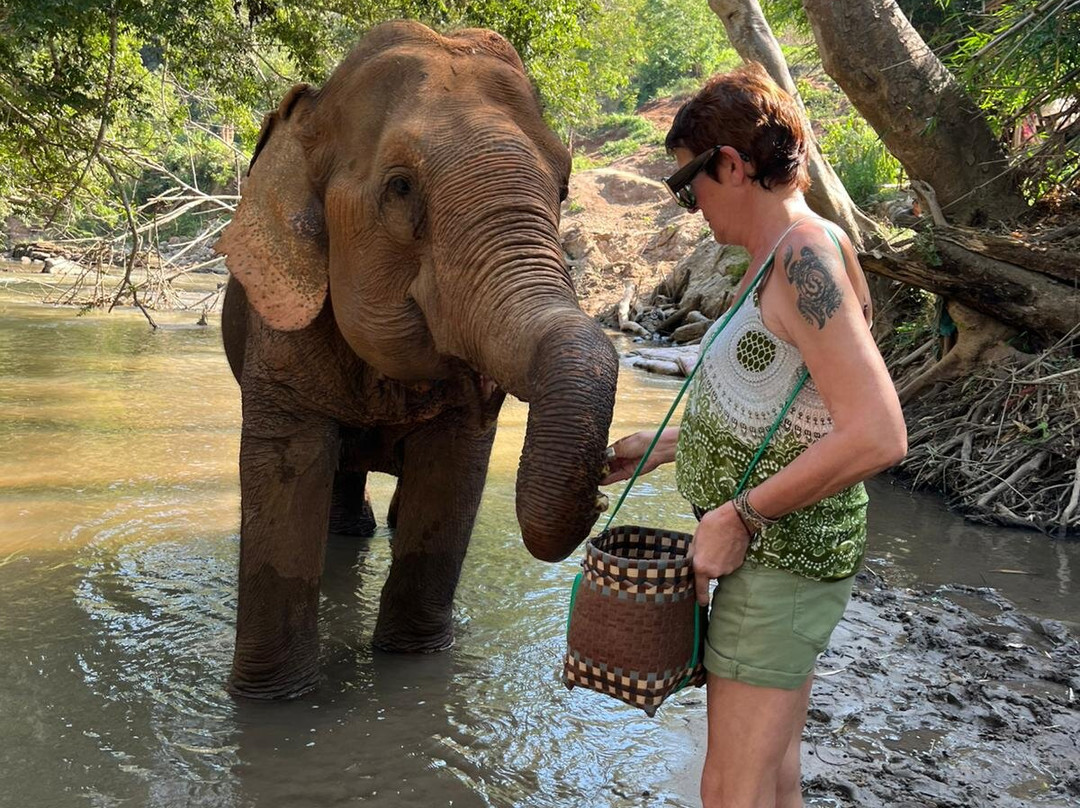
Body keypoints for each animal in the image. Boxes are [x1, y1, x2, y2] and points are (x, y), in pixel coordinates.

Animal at [214, 20, 619, 699]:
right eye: (401, 187)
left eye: (563, 188)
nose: (598, 499)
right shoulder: (282, 331)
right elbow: (286, 474)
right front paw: (272, 701)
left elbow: (450, 478)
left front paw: (413, 661)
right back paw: (350, 531)